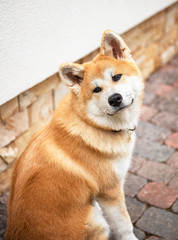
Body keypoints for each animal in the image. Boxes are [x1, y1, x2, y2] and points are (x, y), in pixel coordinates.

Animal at [6, 30, 144, 240]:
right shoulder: (110, 190)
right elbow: (124, 224)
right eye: (96, 90)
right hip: (96, 222)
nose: (114, 99)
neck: (93, 124)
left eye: (117, 77)